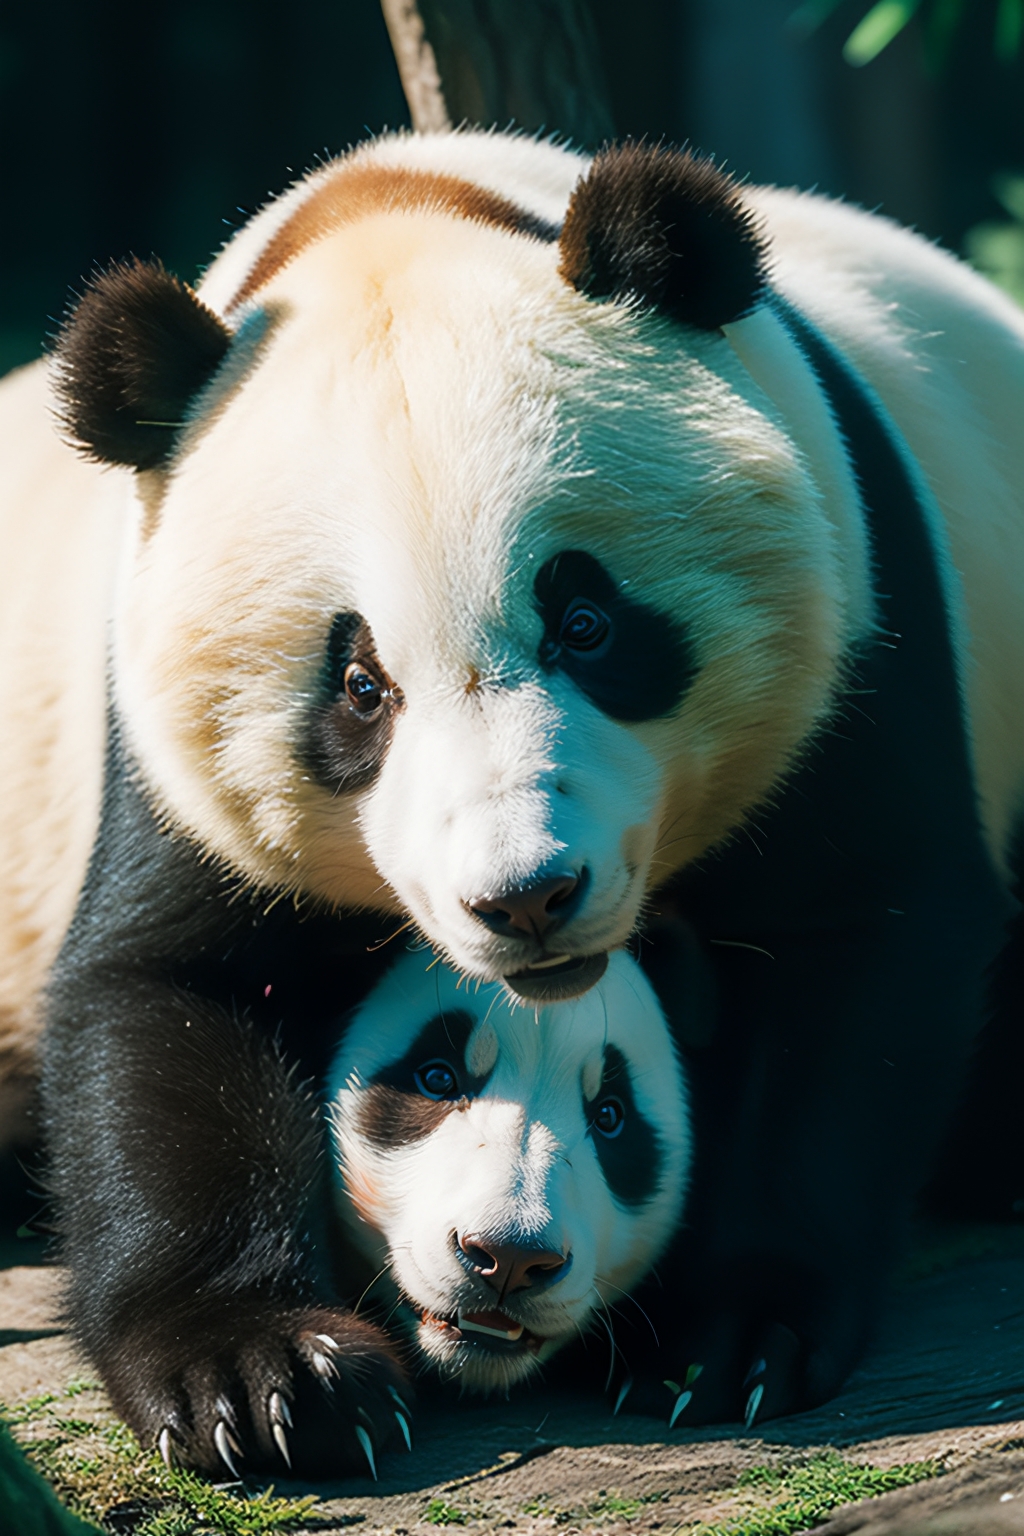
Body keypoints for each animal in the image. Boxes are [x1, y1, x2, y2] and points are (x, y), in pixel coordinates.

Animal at [0, 132, 1019, 1474]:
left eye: (586, 623)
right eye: (360, 690)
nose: (526, 899)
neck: (400, 212)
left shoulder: (856, 622)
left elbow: (858, 938)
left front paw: (726, 1331)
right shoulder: (159, 739)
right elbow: (171, 990)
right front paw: (269, 1379)